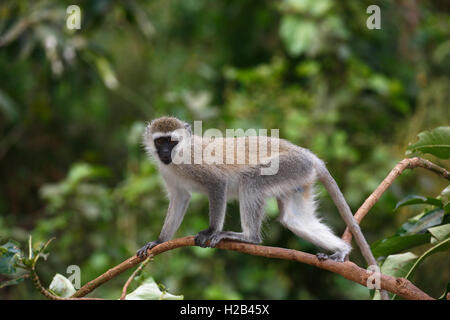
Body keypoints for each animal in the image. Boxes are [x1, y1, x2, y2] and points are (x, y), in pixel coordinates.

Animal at [137, 116, 376, 266]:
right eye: (160, 141)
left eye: (171, 141)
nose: (165, 152)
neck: (180, 155)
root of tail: (308, 155)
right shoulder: (167, 173)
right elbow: (180, 197)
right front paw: (159, 241)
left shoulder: (197, 165)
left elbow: (217, 184)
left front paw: (211, 231)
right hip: (300, 176)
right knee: (294, 220)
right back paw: (342, 250)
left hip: (289, 165)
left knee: (251, 181)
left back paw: (249, 237)